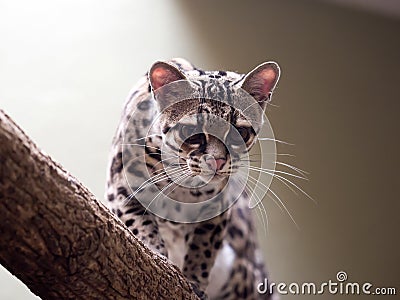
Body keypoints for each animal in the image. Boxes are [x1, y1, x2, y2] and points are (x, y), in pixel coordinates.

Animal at [106, 57, 282, 298]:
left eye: (241, 133)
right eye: (194, 133)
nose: (217, 161)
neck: (182, 184)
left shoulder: (216, 207)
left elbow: (203, 246)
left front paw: (195, 280)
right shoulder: (121, 187)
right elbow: (140, 223)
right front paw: (156, 253)